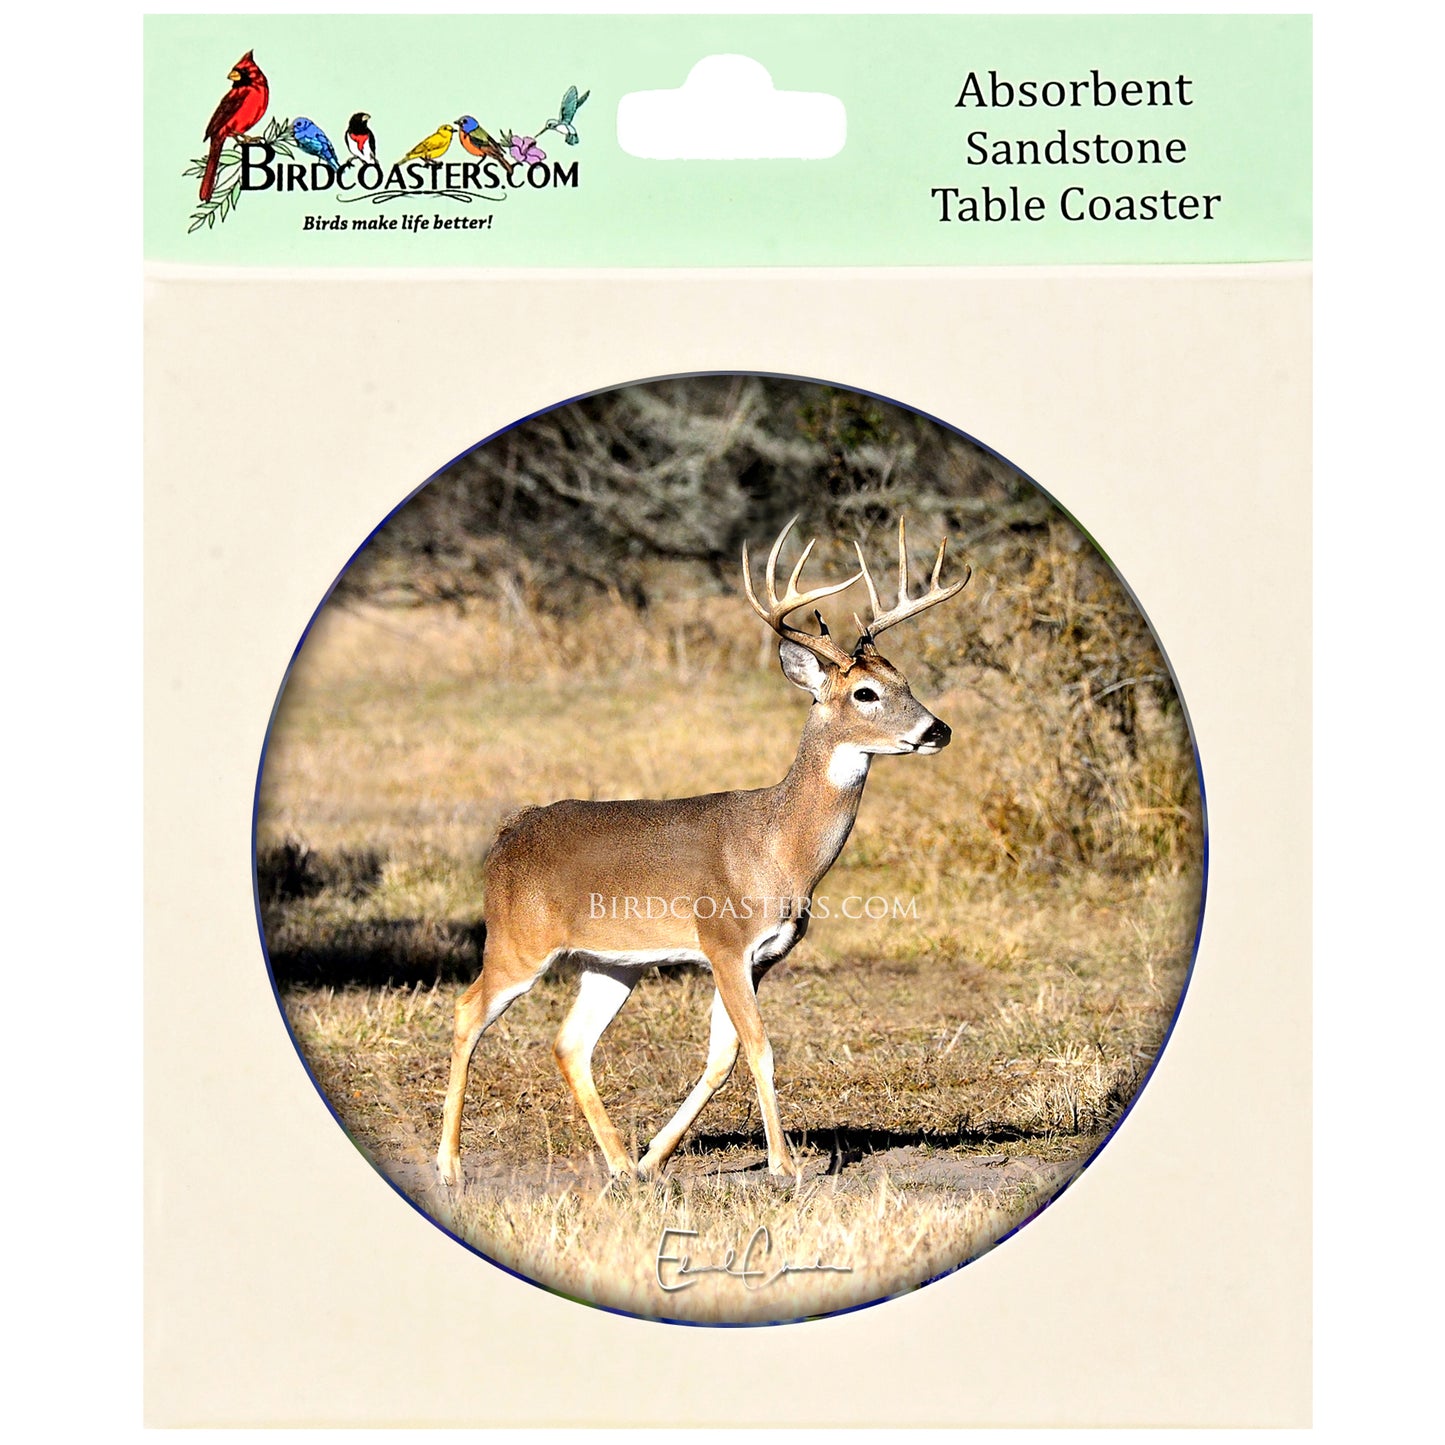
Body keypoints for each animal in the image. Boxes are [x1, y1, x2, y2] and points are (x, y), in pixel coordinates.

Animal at [436, 516, 970, 1187]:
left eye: (907, 682)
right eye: (867, 694)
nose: (938, 729)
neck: (781, 847)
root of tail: (506, 834)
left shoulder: (762, 956)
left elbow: (723, 1056)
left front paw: (655, 1157)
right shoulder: (723, 942)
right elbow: (760, 1048)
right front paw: (784, 1167)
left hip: (614, 963)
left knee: (570, 1042)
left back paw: (622, 1165)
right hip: (517, 942)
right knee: (466, 1011)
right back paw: (450, 1166)